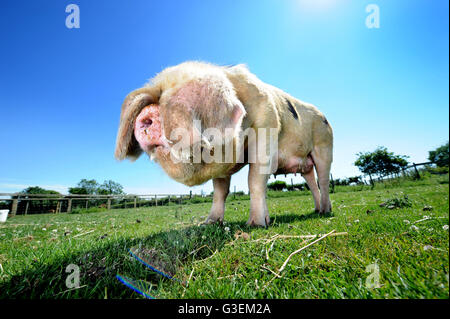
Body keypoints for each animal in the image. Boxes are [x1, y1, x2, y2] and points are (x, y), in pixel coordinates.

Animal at [115, 62, 334, 228]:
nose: (146, 114)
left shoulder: (266, 132)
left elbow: (254, 180)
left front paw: (256, 224)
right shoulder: (220, 166)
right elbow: (220, 191)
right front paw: (209, 223)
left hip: (324, 147)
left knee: (323, 180)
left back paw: (326, 212)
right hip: (306, 162)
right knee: (311, 180)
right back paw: (316, 210)